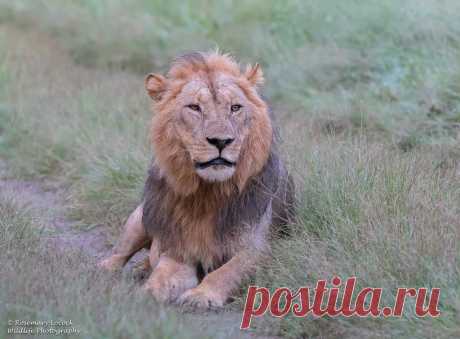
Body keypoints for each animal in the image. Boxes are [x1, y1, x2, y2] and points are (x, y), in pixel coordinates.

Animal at [99, 51, 296, 310]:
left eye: (235, 107)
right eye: (194, 107)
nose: (221, 141)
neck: (207, 193)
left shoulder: (258, 249)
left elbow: (227, 272)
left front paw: (201, 294)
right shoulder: (179, 249)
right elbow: (162, 273)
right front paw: (146, 293)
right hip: (140, 218)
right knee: (120, 253)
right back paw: (110, 269)